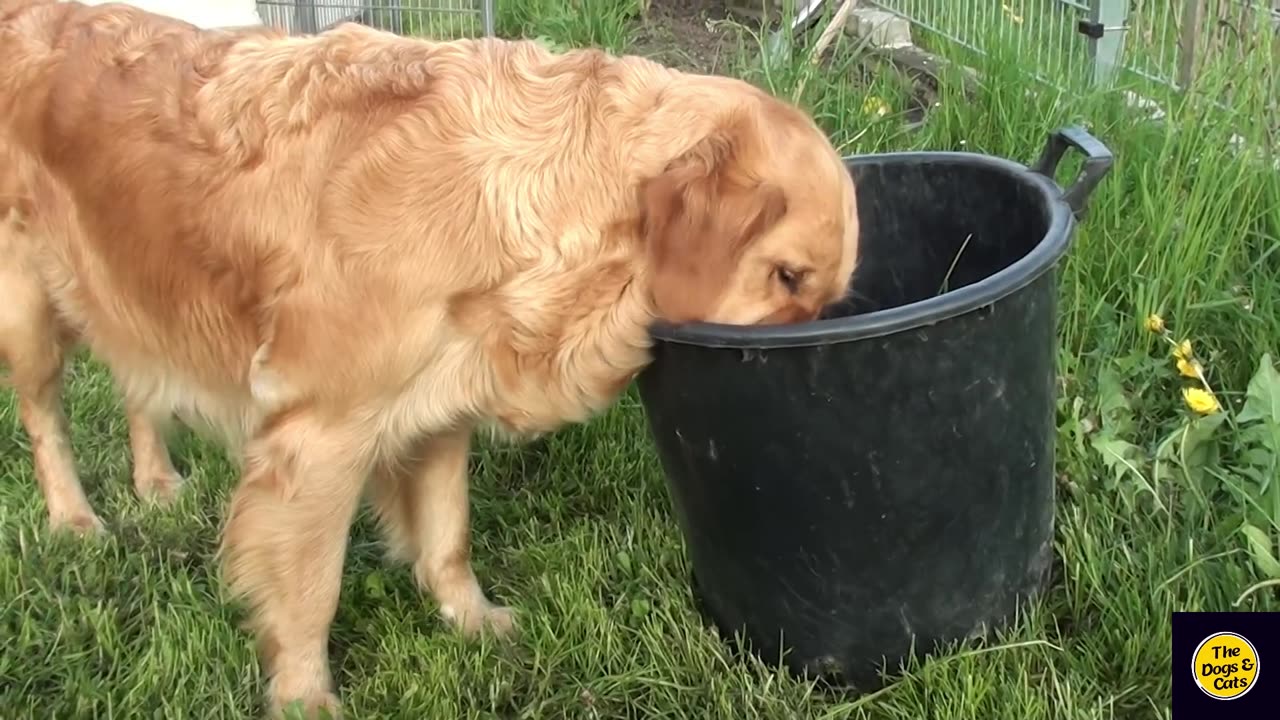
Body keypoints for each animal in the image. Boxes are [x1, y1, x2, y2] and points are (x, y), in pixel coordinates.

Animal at [0, 0, 860, 707]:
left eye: (823, 295)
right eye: (786, 275)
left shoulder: (443, 401)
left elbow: (448, 538)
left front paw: (470, 619)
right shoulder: (319, 438)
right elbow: (310, 589)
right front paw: (306, 698)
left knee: (135, 379)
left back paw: (155, 481)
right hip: (31, 312)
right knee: (45, 418)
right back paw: (74, 518)